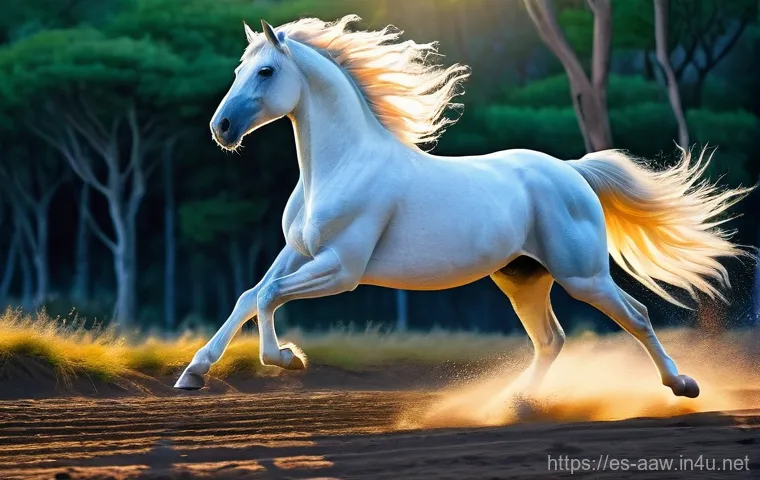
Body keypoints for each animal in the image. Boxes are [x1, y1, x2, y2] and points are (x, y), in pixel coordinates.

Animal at [174, 15, 751, 399]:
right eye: (238, 69)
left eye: (266, 72)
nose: (221, 128)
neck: (338, 169)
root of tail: (571, 171)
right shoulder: (298, 252)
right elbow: (250, 295)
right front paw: (193, 373)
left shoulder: (342, 268)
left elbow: (268, 296)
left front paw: (286, 359)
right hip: (523, 278)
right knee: (552, 340)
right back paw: (514, 403)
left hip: (583, 275)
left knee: (636, 315)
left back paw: (684, 384)